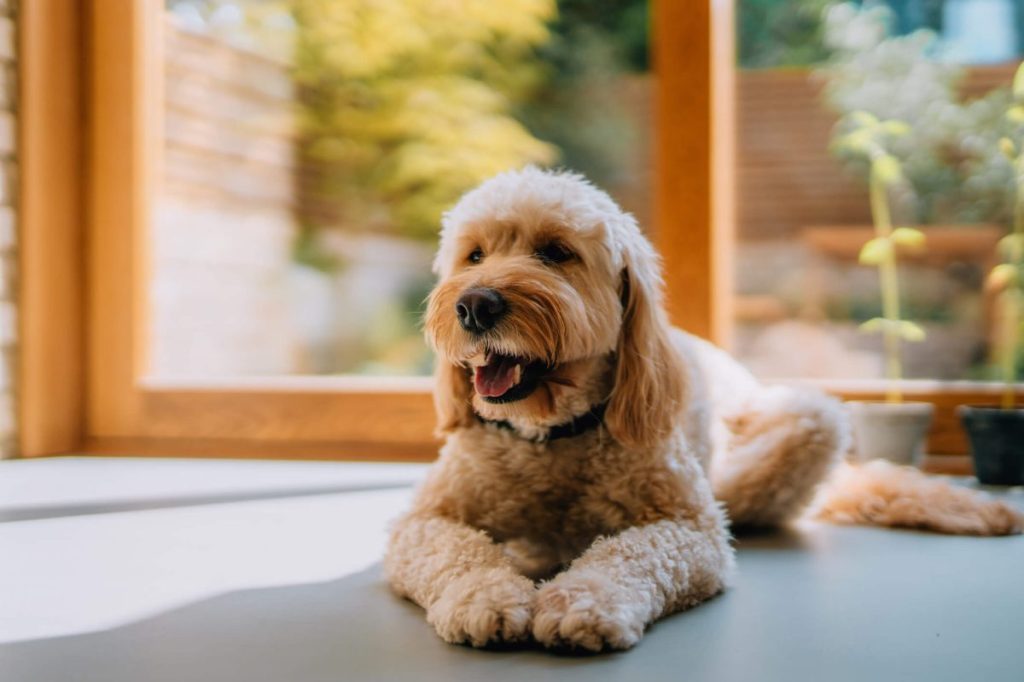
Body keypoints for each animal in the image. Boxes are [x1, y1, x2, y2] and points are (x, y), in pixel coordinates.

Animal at [385, 166, 1024, 651]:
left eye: (556, 252)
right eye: (474, 255)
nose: (474, 305)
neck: (553, 433)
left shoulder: (692, 528)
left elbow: (634, 553)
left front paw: (584, 600)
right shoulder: (424, 520)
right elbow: (456, 550)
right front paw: (486, 596)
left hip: (805, 425)